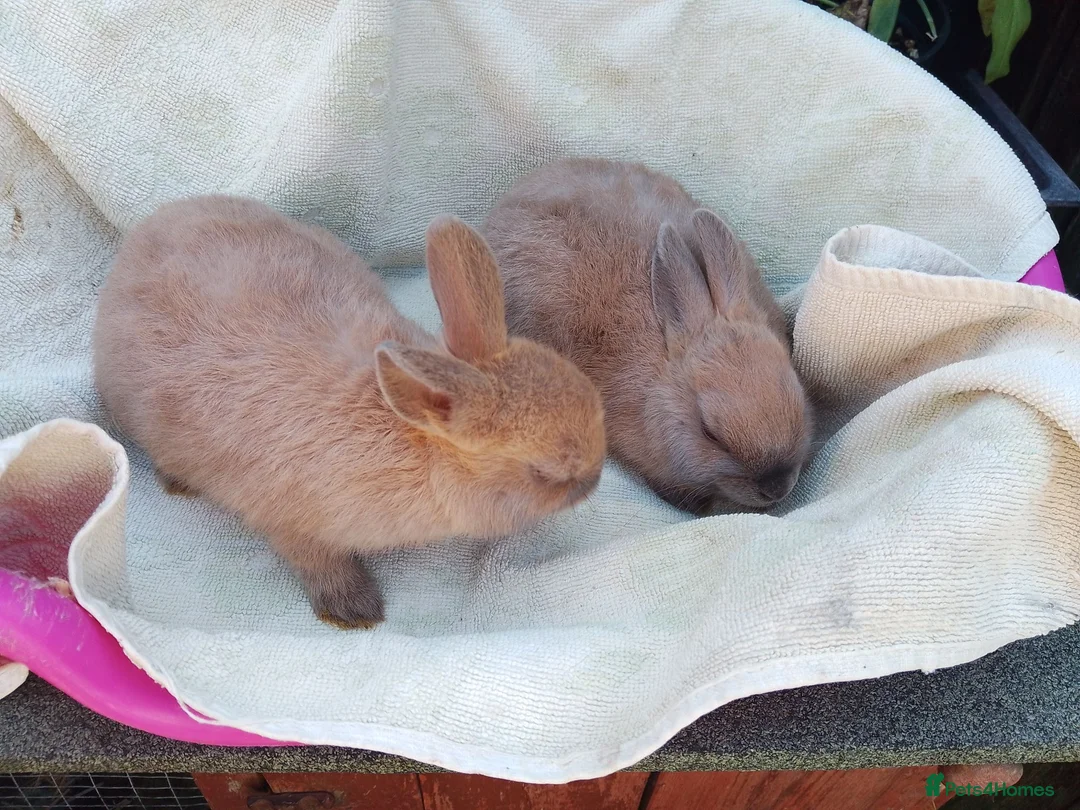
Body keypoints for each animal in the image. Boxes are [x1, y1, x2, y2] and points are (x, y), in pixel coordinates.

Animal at [93, 195, 606, 629]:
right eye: (543, 472)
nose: (596, 480)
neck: (410, 433)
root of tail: (140, 237)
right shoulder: (291, 522)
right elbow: (318, 562)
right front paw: (356, 611)